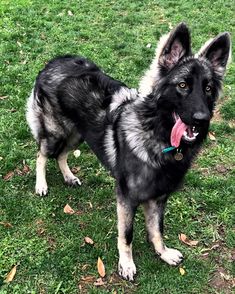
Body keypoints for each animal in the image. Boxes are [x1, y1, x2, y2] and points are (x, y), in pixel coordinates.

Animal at [26, 23, 230, 280]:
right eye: (183, 86)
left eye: (209, 89)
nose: (202, 120)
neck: (156, 135)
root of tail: (54, 61)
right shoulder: (126, 198)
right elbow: (127, 235)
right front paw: (126, 263)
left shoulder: (158, 198)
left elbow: (157, 230)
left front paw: (163, 253)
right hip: (56, 133)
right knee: (41, 155)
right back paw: (41, 184)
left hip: (78, 135)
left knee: (62, 155)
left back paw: (69, 176)